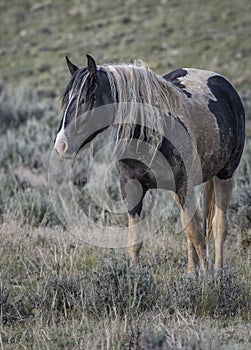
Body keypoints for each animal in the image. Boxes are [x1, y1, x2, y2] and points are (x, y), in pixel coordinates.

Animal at [54, 54, 244, 274]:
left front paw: (207, 278)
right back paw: (190, 271)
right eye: (66, 100)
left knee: (218, 226)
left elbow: (197, 233)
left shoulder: (184, 185)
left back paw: (218, 271)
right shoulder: (132, 187)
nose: (61, 144)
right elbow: (137, 240)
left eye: (86, 99)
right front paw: (134, 276)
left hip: (225, 174)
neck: (151, 133)